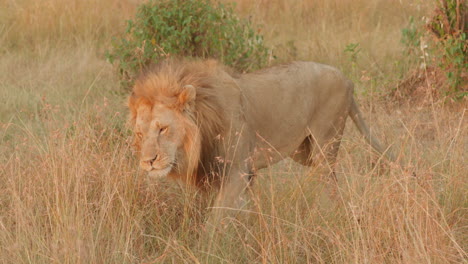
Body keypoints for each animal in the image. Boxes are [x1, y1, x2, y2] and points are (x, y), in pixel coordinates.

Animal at [127, 58, 392, 210]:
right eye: (140, 134)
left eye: (163, 129)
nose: (148, 162)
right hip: (304, 152)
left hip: (325, 144)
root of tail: (346, 79)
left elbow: (216, 224)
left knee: (329, 182)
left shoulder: (236, 172)